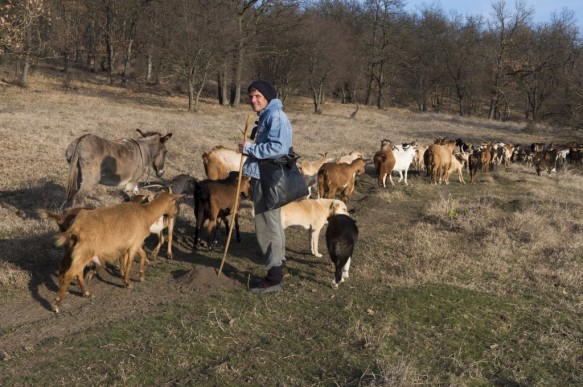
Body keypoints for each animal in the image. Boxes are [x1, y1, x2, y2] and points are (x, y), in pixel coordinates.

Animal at [51, 192, 182, 314]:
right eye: (173, 202)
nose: (175, 213)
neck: (146, 213)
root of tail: (76, 226)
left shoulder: (132, 243)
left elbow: (141, 255)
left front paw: (140, 275)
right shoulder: (135, 243)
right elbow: (129, 263)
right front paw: (127, 282)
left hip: (74, 251)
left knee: (71, 269)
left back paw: (86, 292)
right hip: (84, 252)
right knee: (69, 274)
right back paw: (57, 305)